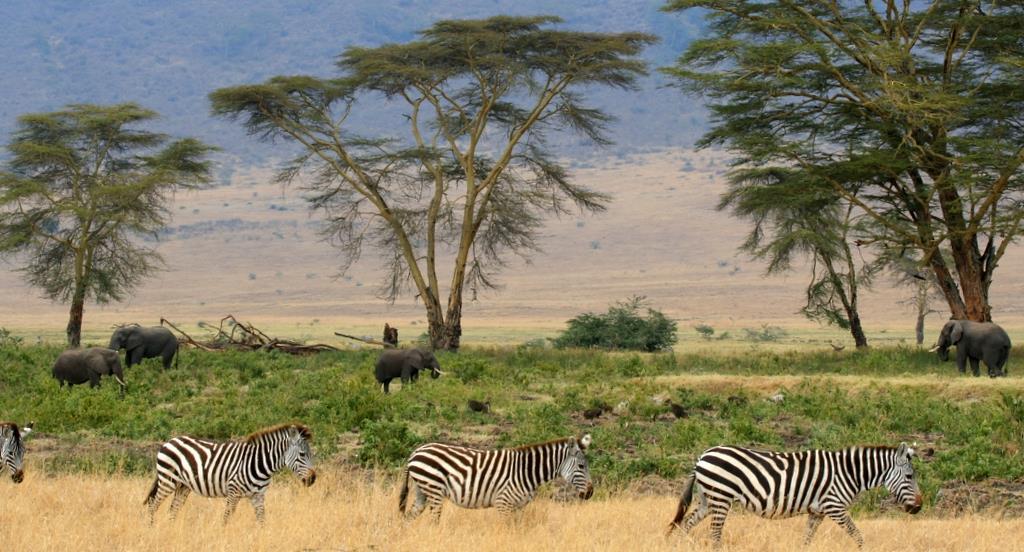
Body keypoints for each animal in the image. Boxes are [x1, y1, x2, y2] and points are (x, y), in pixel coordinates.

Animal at [142, 423, 313, 522]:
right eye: (302, 454)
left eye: (312, 455)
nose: (313, 479)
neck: (259, 463)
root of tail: (169, 441)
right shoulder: (233, 492)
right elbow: (226, 518)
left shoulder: (258, 495)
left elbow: (262, 520)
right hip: (168, 481)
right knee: (152, 505)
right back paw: (151, 529)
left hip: (183, 486)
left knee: (173, 510)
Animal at [397, 434, 593, 520]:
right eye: (581, 466)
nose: (590, 493)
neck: (527, 471)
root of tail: (415, 452)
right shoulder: (503, 503)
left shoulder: (518, 507)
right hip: (434, 489)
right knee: (433, 520)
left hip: (422, 490)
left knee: (409, 517)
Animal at [667, 440, 925, 548]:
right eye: (910, 477)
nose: (919, 507)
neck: (849, 474)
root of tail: (703, 456)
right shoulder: (834, 507)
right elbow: (857, 535)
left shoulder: (817, 511)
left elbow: (807, 539)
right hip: (721, 496)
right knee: (715, 533)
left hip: (707, 498)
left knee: (686, 524)